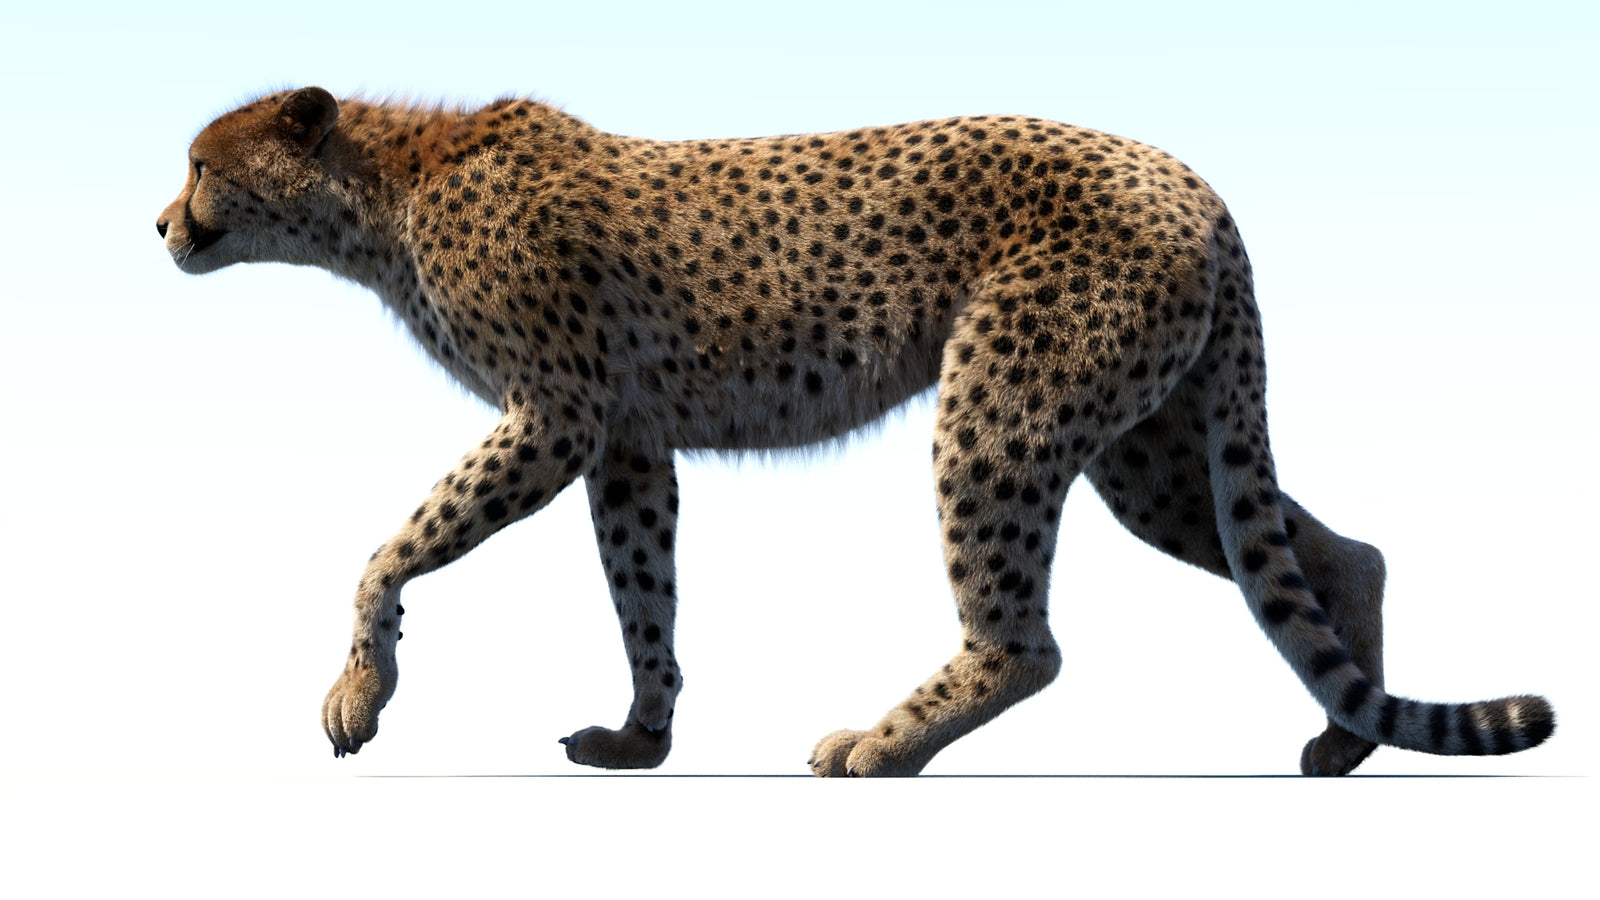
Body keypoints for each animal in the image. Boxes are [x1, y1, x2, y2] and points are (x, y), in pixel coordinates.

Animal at [157, 87, 1555, 776]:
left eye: (201, 165)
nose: (161, 224)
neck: (384, 192)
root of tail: (1190, 178)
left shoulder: (554, 414)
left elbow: (390, 546)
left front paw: (358, 692)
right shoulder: (625, 441)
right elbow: (642, 590)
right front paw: (642, 737)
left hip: (1004, 407)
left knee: (1026, 643)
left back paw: (881, 746)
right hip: (1149, 448)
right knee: (1333, 552)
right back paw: (1342, 734)